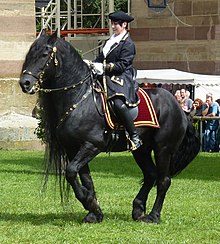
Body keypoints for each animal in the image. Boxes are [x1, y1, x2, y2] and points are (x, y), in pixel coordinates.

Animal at [19, 31, 199, 224]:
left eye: (44, 54)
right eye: (29, 55)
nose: (25, 83)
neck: (80, 98)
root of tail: (180, 108)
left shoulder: (92, 145)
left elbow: (70, 172)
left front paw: (89, 202)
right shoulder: (73, 149)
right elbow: (84, 178)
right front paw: (94, 211)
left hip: (163, 149)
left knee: (163, 180)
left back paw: (153, 215)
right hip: (141, 150)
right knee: (151, 175)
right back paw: (138, 210)